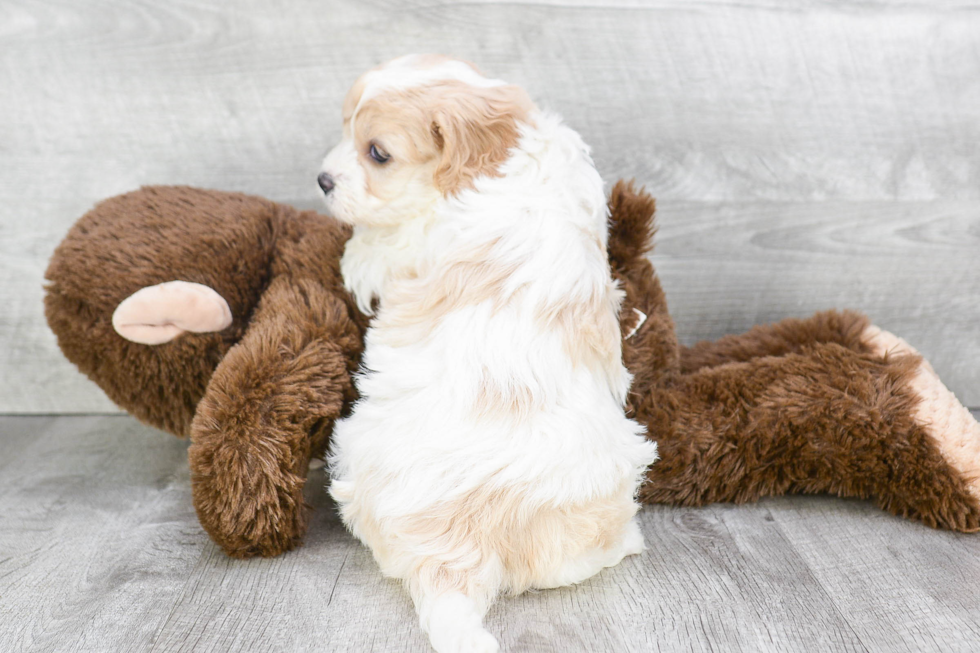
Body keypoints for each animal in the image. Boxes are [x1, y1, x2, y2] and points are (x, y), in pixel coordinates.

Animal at [322, 56, 660, 652]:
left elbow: (369, 250)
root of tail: (457, 551)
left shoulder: (401, 243)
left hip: (353, 449)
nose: (321, 179)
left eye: (377, 153)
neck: (499, 155)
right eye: (344, 128)